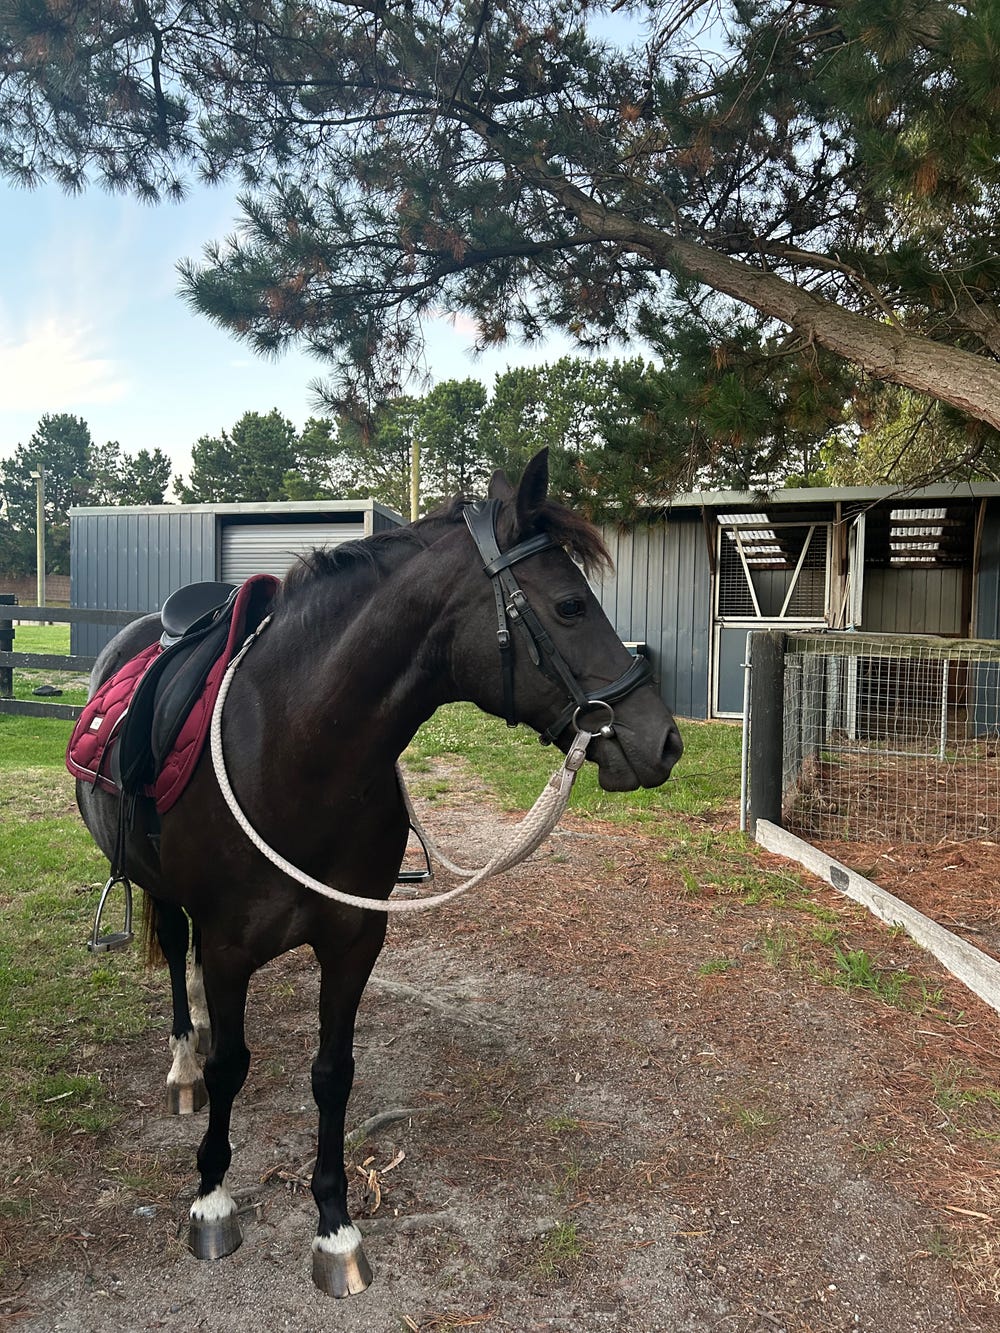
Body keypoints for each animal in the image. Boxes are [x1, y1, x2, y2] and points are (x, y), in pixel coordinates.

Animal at [75, 449, 683, 1297]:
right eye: (568, 605)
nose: (664, 740)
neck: (295, 748)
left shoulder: (353, 939)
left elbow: (334, 1073)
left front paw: (335, 1227)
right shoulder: (228, 946)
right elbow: (231, 1064)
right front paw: (211, 1198)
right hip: (162, 891)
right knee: (174, 964)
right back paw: (181, 1066)